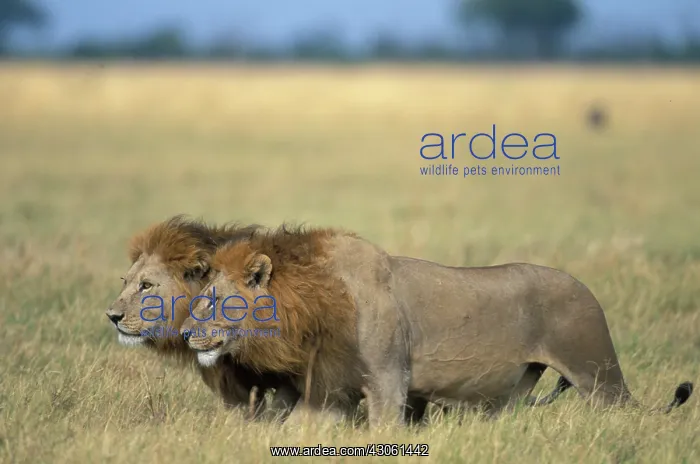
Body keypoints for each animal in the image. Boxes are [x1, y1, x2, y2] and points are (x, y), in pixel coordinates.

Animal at [180, 225, 665, 427]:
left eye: (215, 299)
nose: (185, 333)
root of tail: (587, 288)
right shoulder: (330, 392)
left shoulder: (389, 380)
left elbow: (384, 430)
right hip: (519, 387)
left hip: (598, 371)